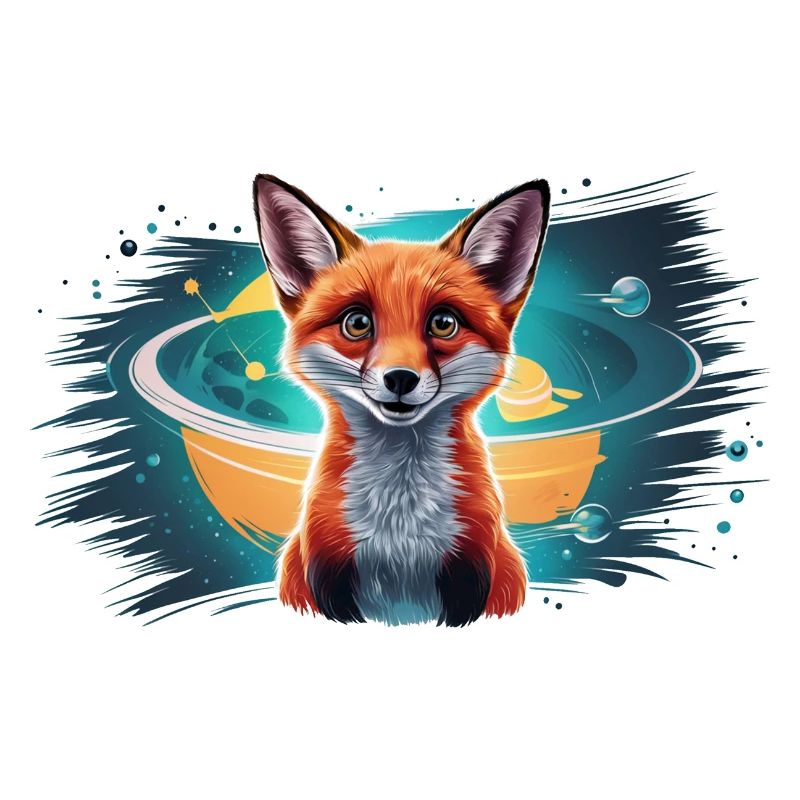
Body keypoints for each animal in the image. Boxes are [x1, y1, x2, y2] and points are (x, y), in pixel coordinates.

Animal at [253, 174, 550, 625]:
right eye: (358, 322)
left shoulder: (471, 566)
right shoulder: (327, 567)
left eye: (443, 323)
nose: (400, 379)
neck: (399, 524)